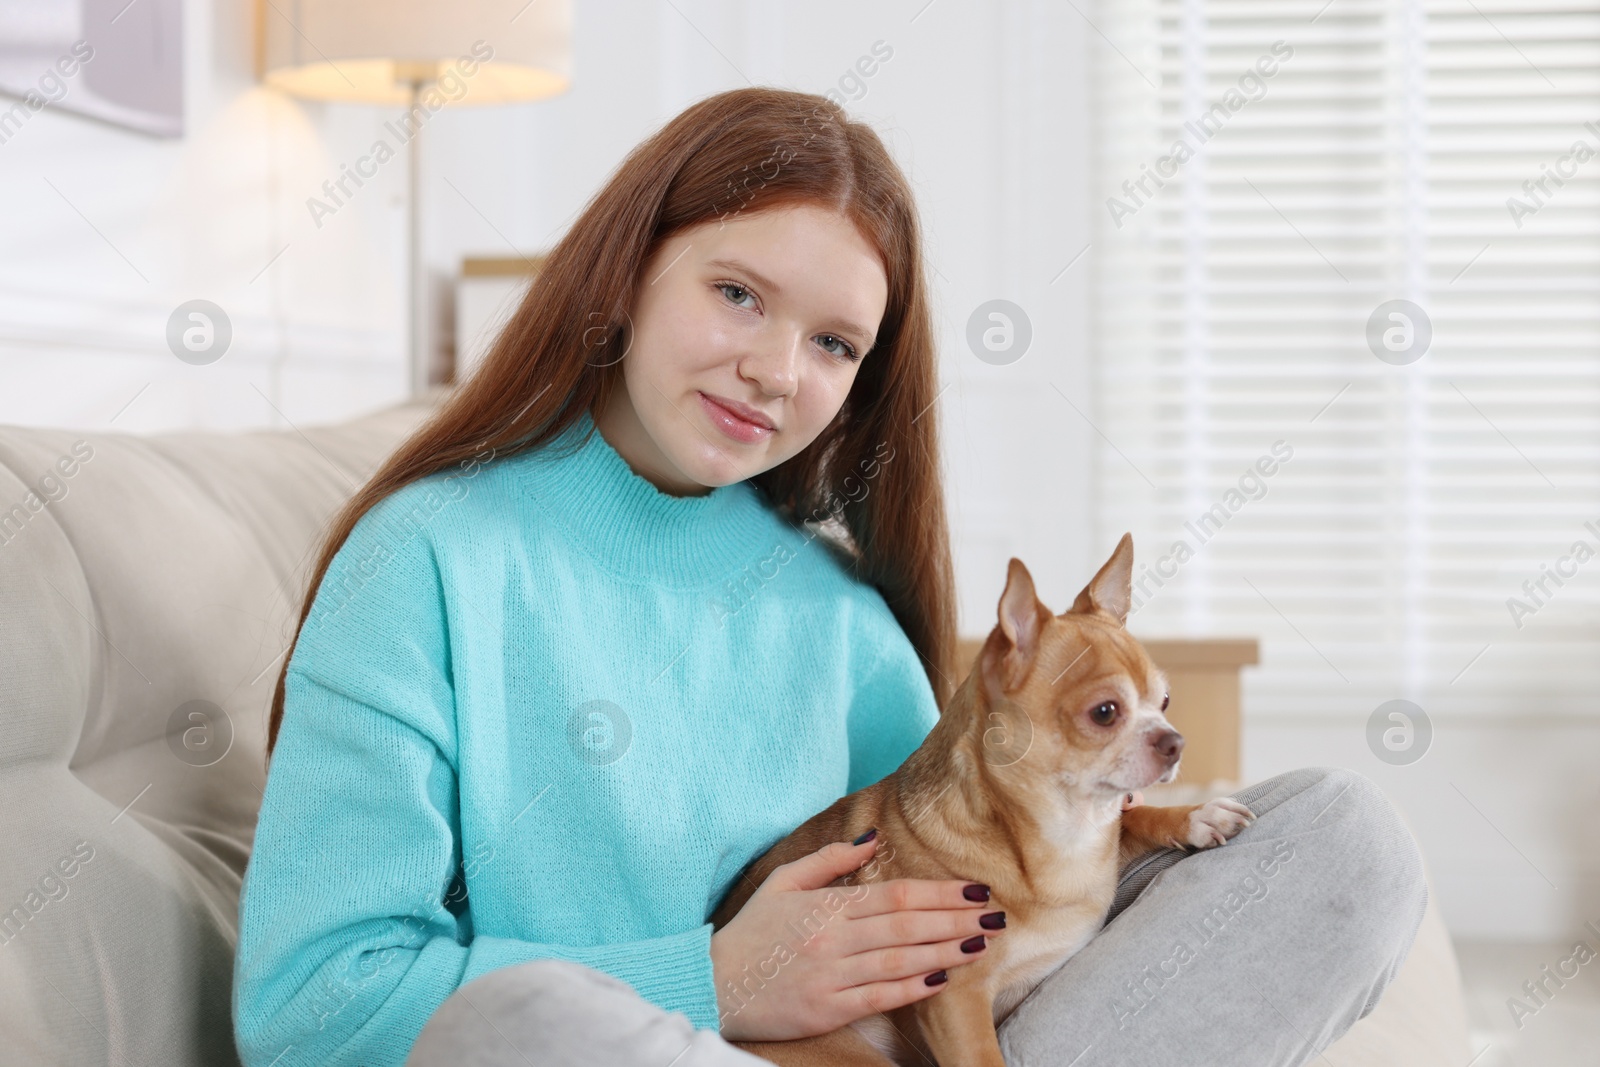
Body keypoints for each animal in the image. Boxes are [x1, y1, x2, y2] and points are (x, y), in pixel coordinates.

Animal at [707, 537, 1254, 1062]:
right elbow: (983, 1056)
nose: (1175, 741)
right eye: (1105, 712)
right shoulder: (956, 1001)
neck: (1060, 837)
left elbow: (1133, 818)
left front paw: (1197, 815)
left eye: (1165, 702)